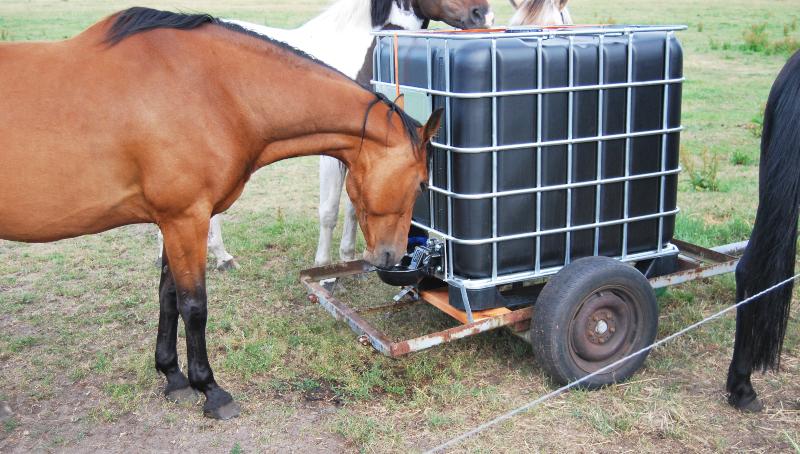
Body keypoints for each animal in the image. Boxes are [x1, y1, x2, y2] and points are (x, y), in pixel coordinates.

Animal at [0, 6, 444, 418]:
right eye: (422, 184)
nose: (391, 256)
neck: (213, 90)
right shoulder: (186, 219)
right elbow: (194, 306)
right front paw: (210, 389)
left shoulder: (171, 221)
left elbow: (168, 297)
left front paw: (173, 377)